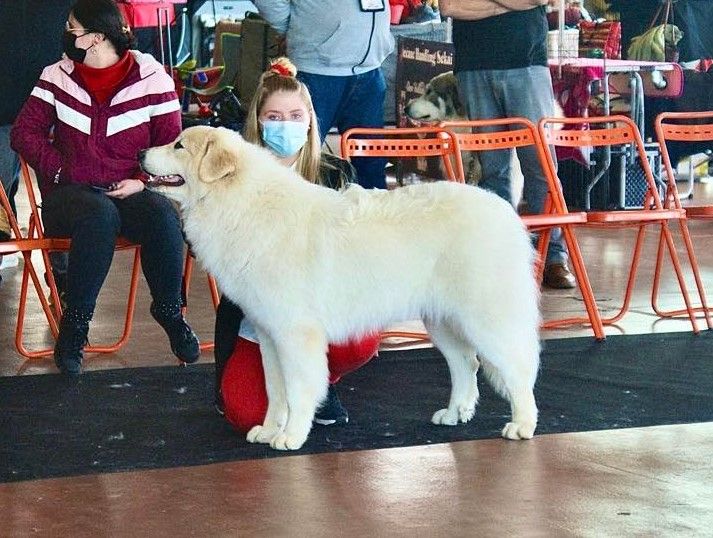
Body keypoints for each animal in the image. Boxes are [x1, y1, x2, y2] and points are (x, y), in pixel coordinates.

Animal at [138, 124, 540, 448]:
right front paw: (269, 431)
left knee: (518, 367)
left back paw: (522, 425)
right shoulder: (269, 335)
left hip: (486, 318)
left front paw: (291, 437)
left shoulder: (295, 333)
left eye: (179, 145)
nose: (140, 153)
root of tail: (505, 212)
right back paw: (454, 413)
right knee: (466, 364)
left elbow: (298, 389)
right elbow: (275, 391)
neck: (240, 203)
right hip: (442, 321)